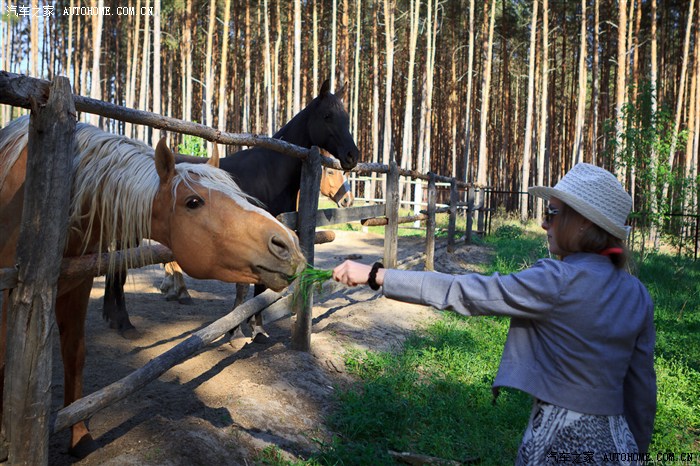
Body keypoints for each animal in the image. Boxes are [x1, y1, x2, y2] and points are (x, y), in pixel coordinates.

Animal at [103, 79, 359, 343]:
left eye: (346, 117)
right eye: (327, 116)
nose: (353, 155)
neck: (269, 172)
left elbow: (260, 286)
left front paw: (256, 327)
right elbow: (246, 286)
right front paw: (238, 329)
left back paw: (114, 315)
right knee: (118, 270)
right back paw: (125, 321)